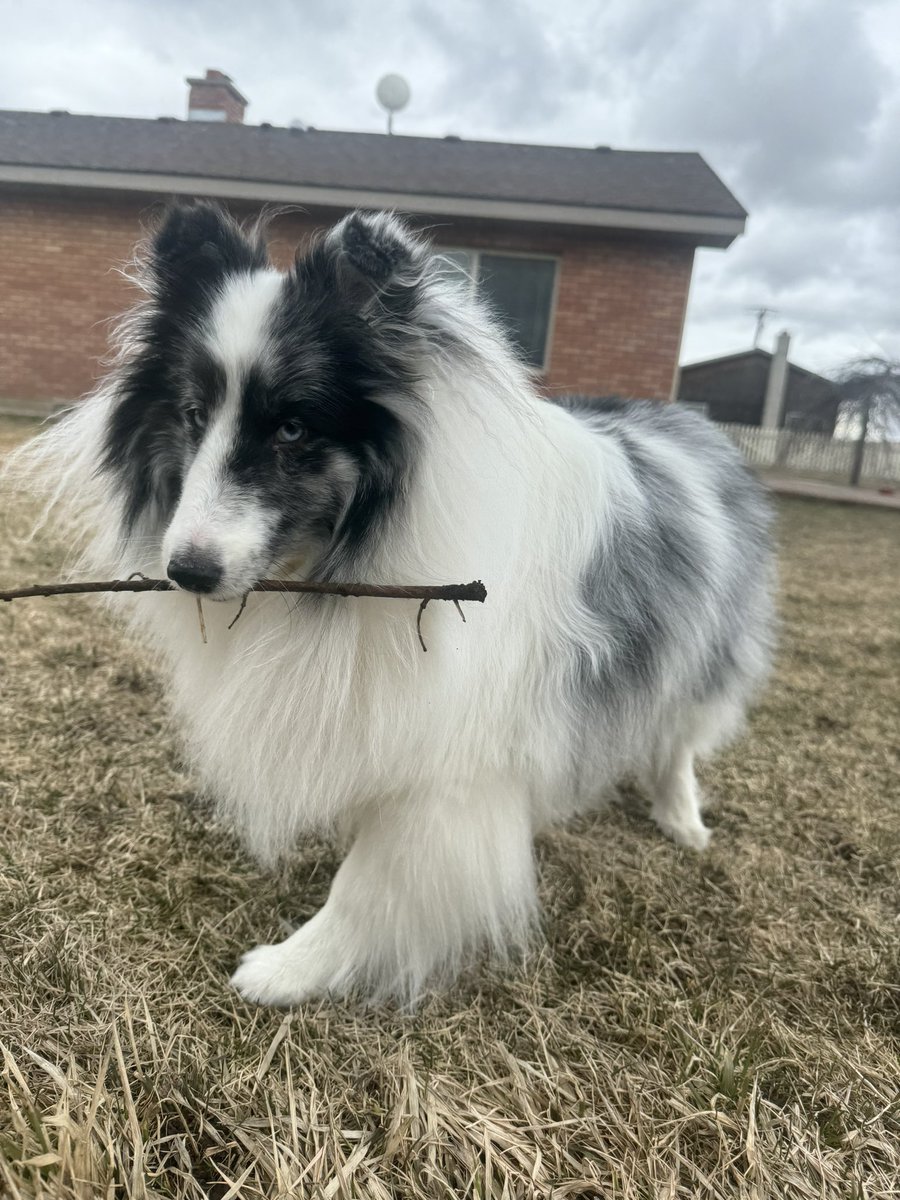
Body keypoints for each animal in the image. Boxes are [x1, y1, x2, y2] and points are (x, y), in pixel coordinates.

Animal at [10, 204, 777, 1003]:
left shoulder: (451, 765)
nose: (186, 571)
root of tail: (694, 425)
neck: (344, 554)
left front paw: (291, 968)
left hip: (700, 644)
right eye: (193, 415)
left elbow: (368, 883)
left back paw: (681, 816)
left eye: (292, 428)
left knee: (679, 733)